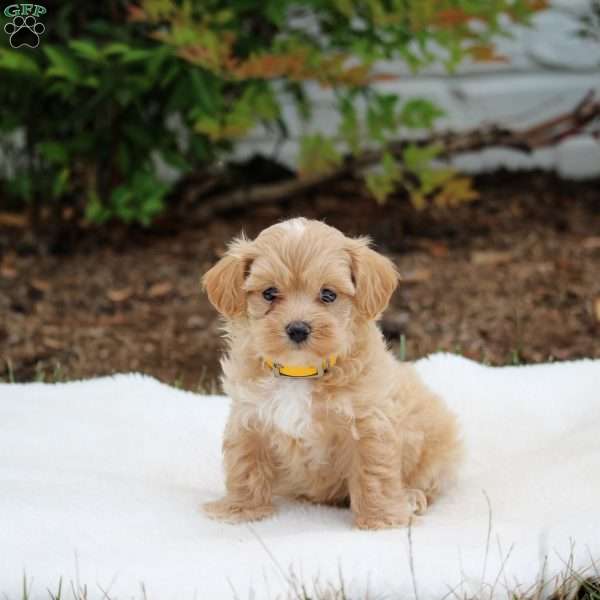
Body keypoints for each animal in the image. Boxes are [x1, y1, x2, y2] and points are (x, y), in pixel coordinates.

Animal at [200, 218, 460, 528]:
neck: (299, 371)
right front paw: (241, 510)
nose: (298, 329)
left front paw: (381, 520)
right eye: (269, 293)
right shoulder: (249, 417)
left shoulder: (368, 421)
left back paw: (411, 497)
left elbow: (374, 471)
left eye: (328, 295)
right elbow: (245, 465)